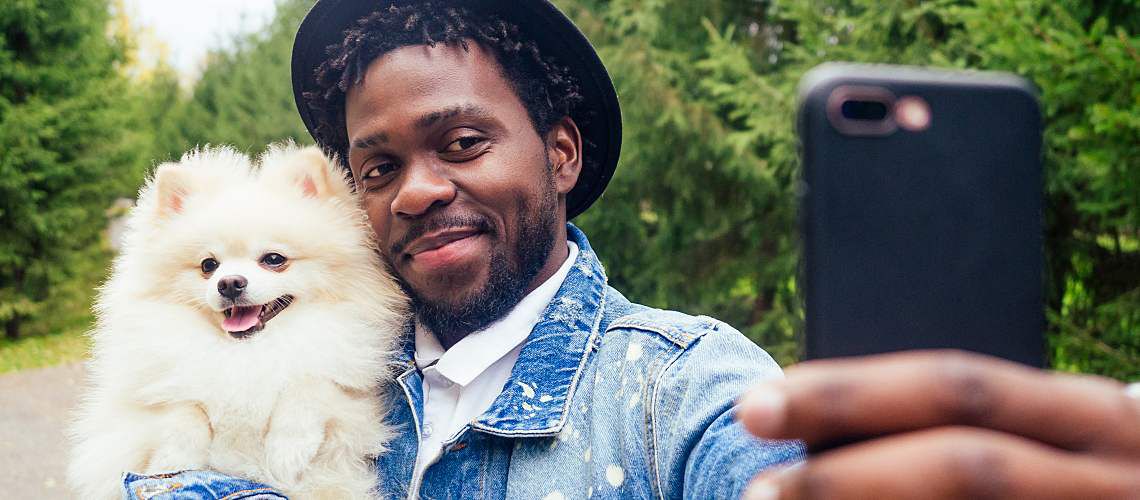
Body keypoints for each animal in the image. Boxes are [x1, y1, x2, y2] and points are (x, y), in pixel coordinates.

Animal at [66, 144, 405, 500]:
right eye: (208, 265)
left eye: (274, 259)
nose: (228, 283)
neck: (246, 352)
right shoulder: (131, 416)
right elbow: (183, 411)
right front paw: (173, 460)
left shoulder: (357, 406)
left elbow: (311, 384)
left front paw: (287, 451)